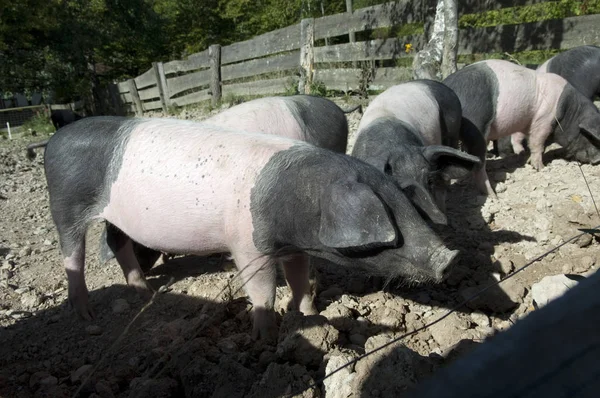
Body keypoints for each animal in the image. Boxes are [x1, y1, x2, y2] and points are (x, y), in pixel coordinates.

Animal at [45, 115, 460, 338]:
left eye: (404, 206)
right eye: (389, 223)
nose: (450, 257)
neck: (297, 201)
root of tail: (54, 141)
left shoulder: (294, 247)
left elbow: (299, 279)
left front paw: (309, 314)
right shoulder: (247, 244)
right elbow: (263, 289)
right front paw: (265, 334)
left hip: (116, 216)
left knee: (118, 243)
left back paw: (142, 291)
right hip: (65, 203)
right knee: (72, 253)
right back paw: (86, 314)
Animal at [352, 80, 482, 215]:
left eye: (429, 181)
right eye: (402, 190)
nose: (437, 216)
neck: (396, 146)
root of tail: (446, 88)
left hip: (453, 130)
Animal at [442, 59, 600, 196]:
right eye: (589, 136)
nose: (597, 160)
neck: (569, 111)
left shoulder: (528, 124)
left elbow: (523, 139)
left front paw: (524, 156)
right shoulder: (543, 120)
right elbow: (537, 143)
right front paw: (540, 168)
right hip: (478, 126)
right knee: (479, 165)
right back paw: (493, 195)